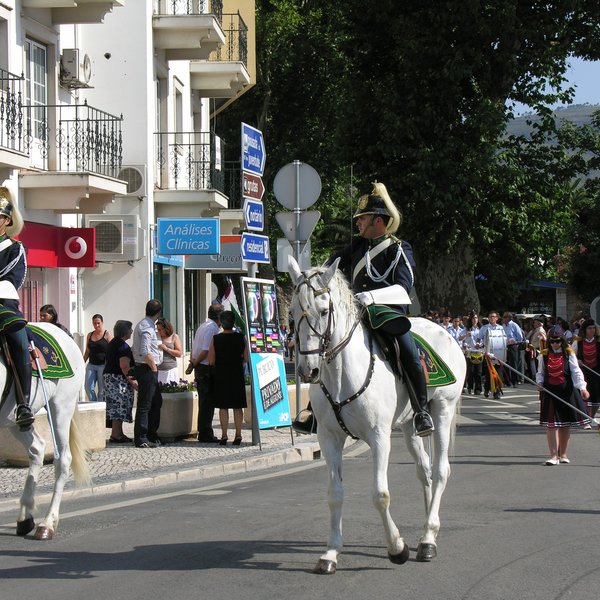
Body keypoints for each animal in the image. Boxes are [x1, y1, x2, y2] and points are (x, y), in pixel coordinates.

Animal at [0, 324, 89, 540]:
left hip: (61, 408)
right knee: (37, 448)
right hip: (14, 421)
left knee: (62, 460)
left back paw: (47, 524)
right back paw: (25, 517)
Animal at [288, 255, 466, 576]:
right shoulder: (329, 438)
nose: (308, 371)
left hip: (443, 410)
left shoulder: (380, 437)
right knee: (425, 469)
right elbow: (334, 494)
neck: (341, 374)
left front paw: (397, 548)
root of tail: (445, 331)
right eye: (293, 311)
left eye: (324, 310)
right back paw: (426, 531)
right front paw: (331, 553)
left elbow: (380, 495)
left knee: (441, 470)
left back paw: (428, 538)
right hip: (410, 424)